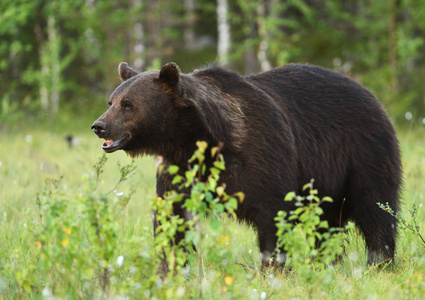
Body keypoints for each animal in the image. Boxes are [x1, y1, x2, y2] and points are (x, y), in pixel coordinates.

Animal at [92, 62, 400, 268]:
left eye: (128, 104)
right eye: (111, 101)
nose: (99, 126)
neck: (199, 140)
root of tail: (370, 94)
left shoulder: (264, 159)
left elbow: (273, 216)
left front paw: (272, 269)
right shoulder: (179, 170)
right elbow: (173, 218)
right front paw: (171, 267)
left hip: (363, 153)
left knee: (376, 207)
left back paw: (379, 262)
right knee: (326, 224)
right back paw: (327, 262)